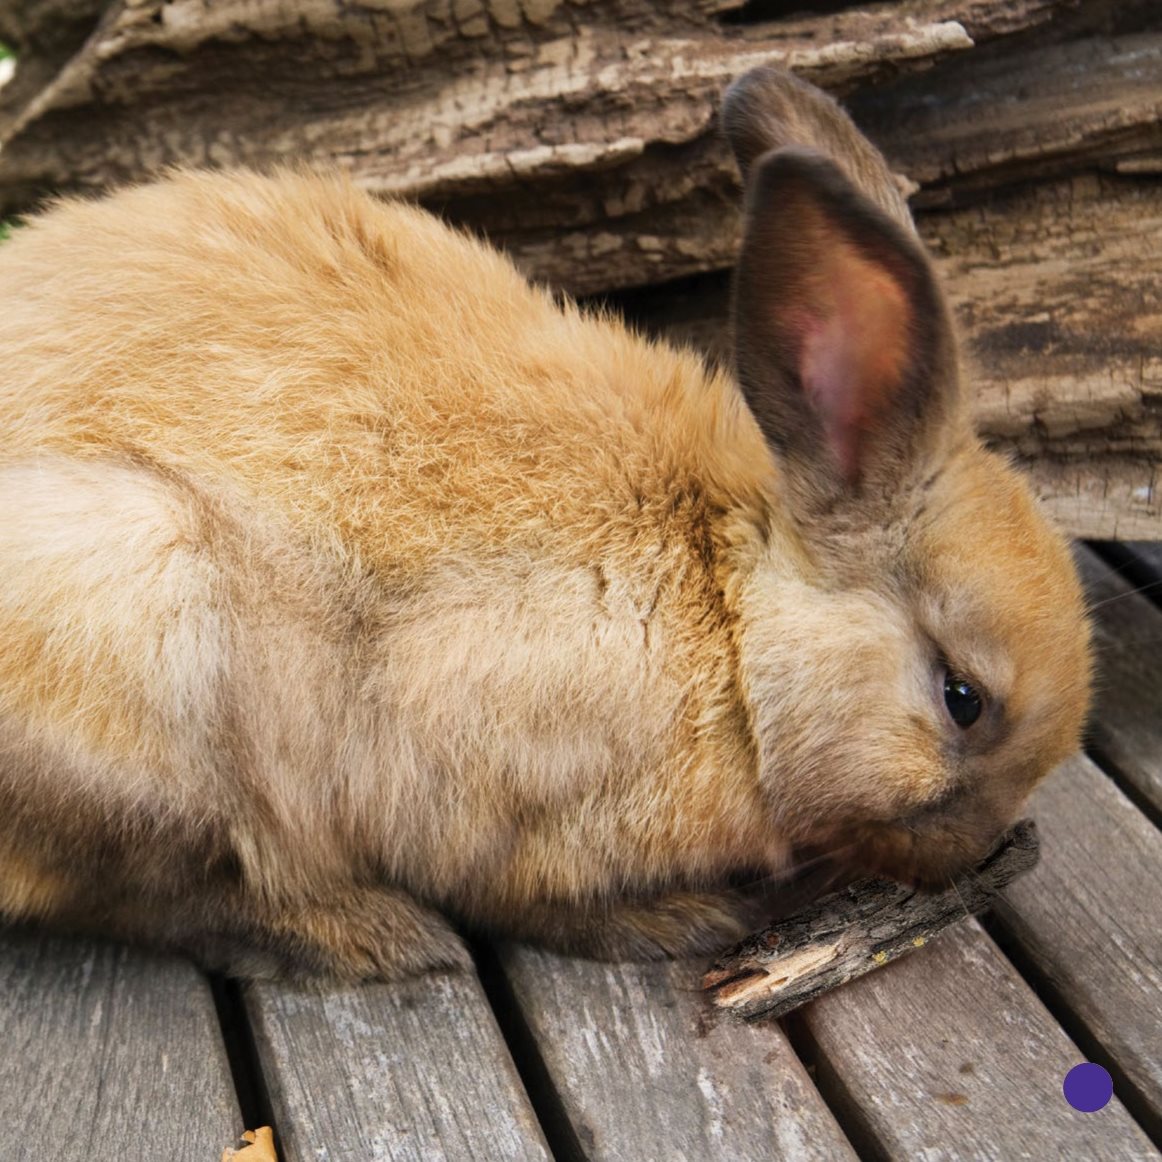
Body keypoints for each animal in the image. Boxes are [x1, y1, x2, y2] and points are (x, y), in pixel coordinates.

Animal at [0, 70, 1087, 980]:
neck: (731, 618)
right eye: (962, 699)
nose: (961, 857)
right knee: (155, 896)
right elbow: (523, 898)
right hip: (141, 624)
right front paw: (670, 920)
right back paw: (377, 938)